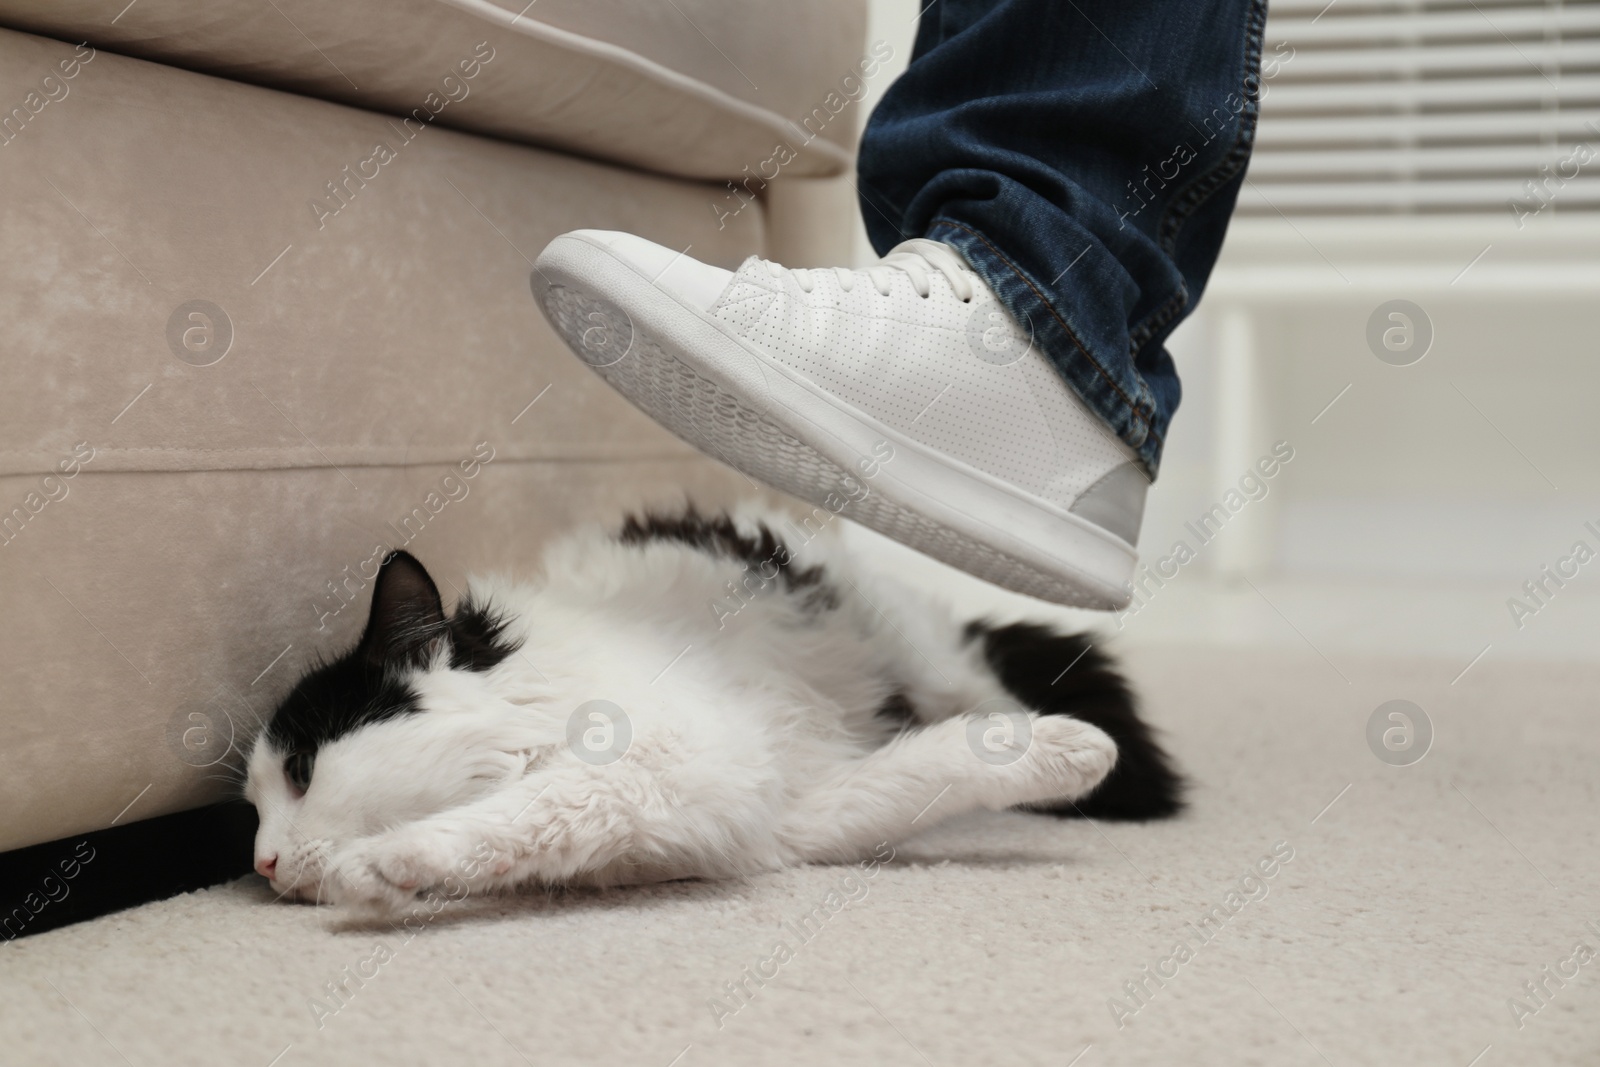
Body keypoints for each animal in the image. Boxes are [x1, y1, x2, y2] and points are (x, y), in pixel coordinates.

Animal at [243, 502, 1184, 921]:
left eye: (302, 771)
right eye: (251, 808)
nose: (262, 862)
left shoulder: (667, 761)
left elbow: (530, 806)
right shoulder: (778, 816)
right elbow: (926, 771)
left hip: (914, 642)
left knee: (979, 689)